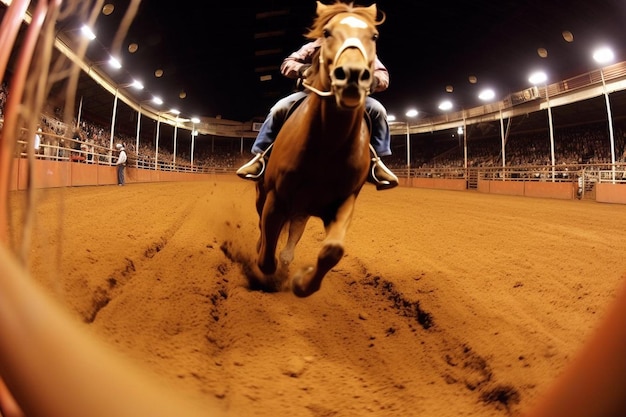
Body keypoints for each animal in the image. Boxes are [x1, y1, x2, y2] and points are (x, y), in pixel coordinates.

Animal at [251, 1, 382, 298]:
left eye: (373, 36)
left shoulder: (343, 203)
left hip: (303, 208)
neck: (327, 148)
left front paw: (301, 283)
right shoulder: (276, 198)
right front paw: (269, 272)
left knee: (294, 232)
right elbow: (266, 256)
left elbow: (332, 251)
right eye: (327, 32)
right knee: (263, 228)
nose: (352, 75)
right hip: (264, 194)